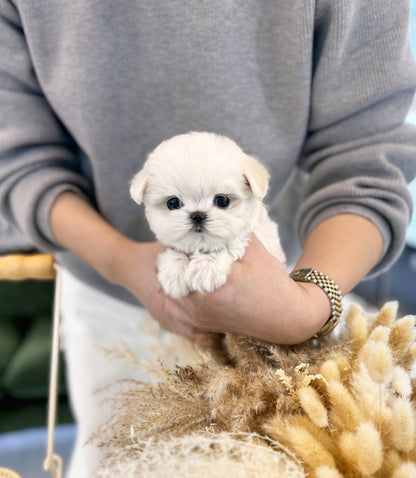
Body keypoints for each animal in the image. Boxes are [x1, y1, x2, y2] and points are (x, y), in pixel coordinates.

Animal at [130, 133, 286, 298]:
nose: (197, 215)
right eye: (172, 203)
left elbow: (232, 243)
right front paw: (174, 270)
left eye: (223, 200)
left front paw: (205, 268)